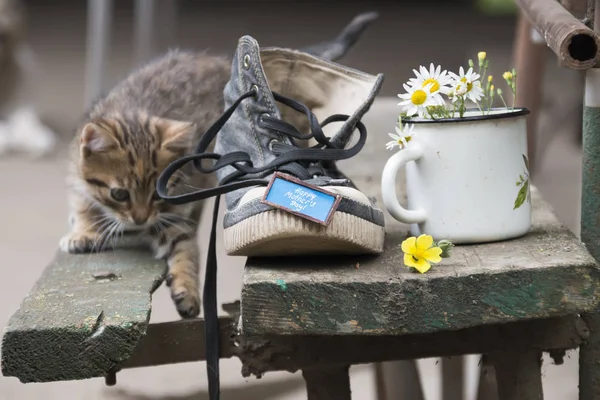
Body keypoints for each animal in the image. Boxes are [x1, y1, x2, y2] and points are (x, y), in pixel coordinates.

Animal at [60, 50, 230, 318]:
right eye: (119, 194)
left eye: (159, 195)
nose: (140, 220)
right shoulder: (75, 171)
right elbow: (83, 203)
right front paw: (85, 231)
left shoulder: (170, 213)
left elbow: (185, 247)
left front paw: (188, 289)